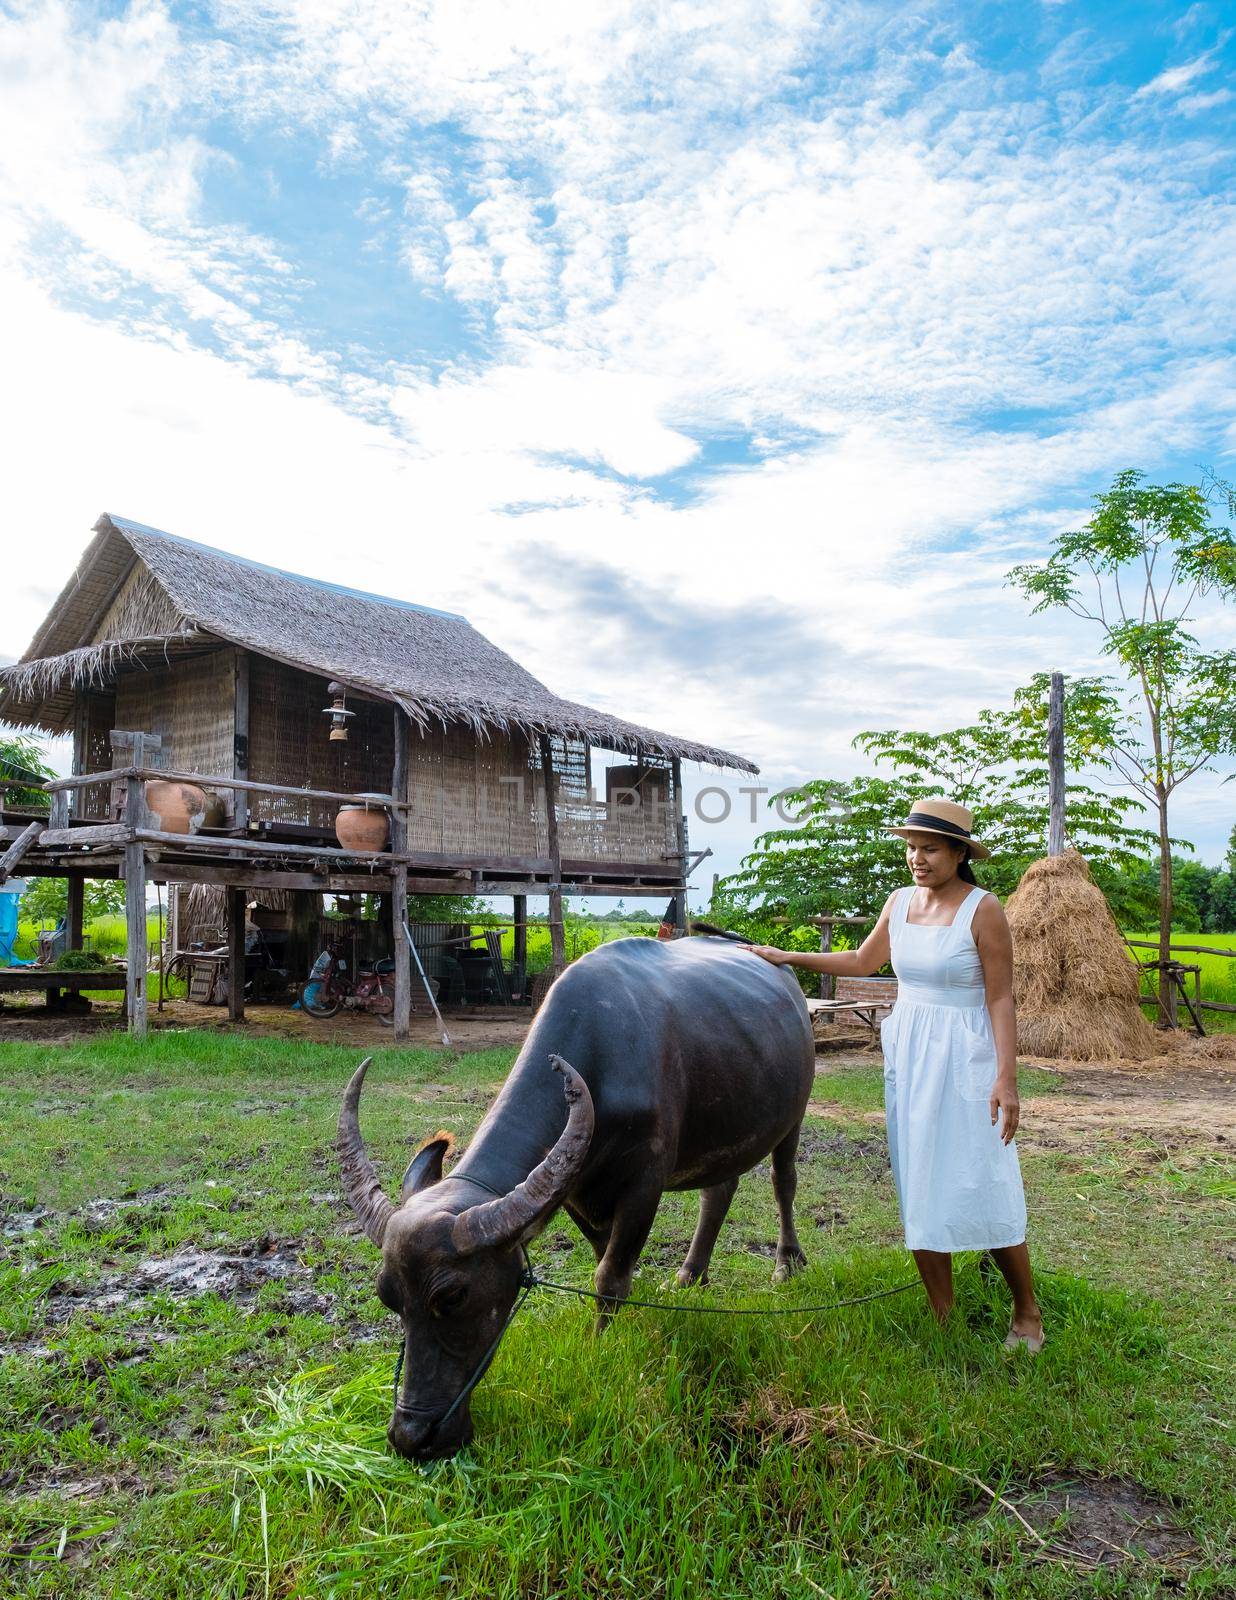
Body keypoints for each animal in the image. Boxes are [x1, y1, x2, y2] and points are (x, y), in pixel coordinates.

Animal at [341, 934, 819, 1465]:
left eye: (452, 1296)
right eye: (389, 1297)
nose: (412, 1436)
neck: (601, 1056)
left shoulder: (645, 1181)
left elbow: (610, 1275)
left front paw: (601, 1346)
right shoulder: (573, 1190)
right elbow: (603, 1256)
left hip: (793, 1117)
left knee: (783, 1180)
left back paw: (786, 1262)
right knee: (720, 1189)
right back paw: (690, 1276)